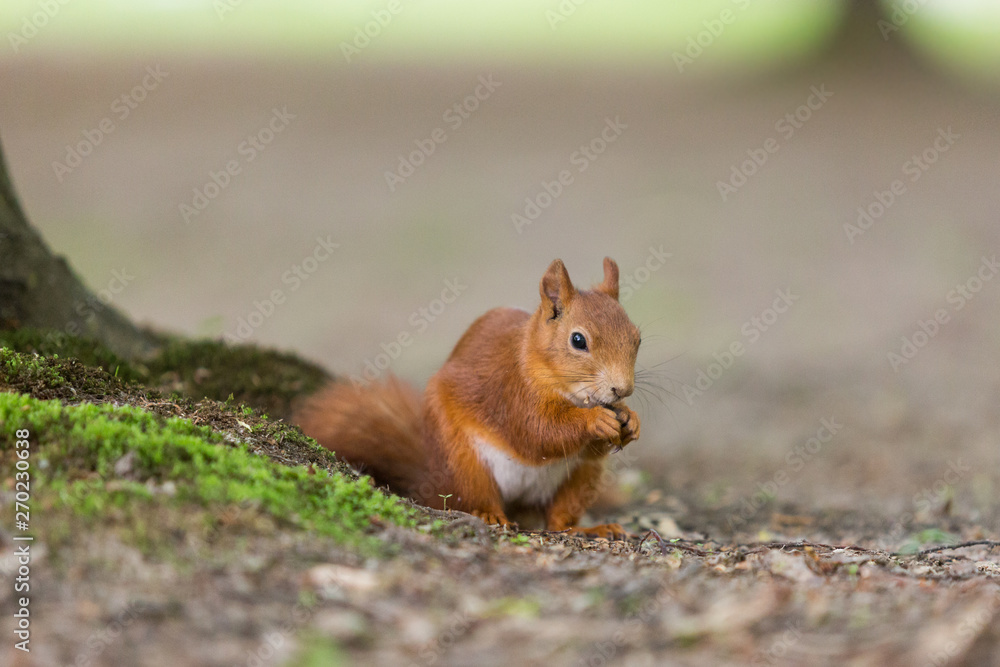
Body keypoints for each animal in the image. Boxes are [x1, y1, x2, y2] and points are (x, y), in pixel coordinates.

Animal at [292, 258, 644, 540]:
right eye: (578, 340)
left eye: (637, 338)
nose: (622, 390)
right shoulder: (510, 391)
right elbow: (537, 432)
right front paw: (595, 419)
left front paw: (630, 419)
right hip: (463, 460)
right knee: (474, 499)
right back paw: (489, 515)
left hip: (581, 478)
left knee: (558, 520)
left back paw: (589, 528)